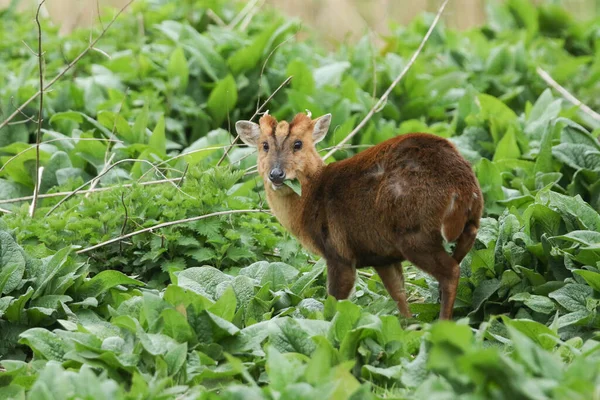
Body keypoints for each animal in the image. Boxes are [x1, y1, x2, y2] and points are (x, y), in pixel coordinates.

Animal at [234, 111, 482, 318]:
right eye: (264, 145)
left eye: (298, 144)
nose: (276, 174)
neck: (312, 199)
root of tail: (462, 187)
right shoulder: (381, 255)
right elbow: (399, 296)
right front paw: (407, 330)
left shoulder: (339, 252)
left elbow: (334, 302)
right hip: (464, 221)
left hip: (414, 234)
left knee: (451, 272)